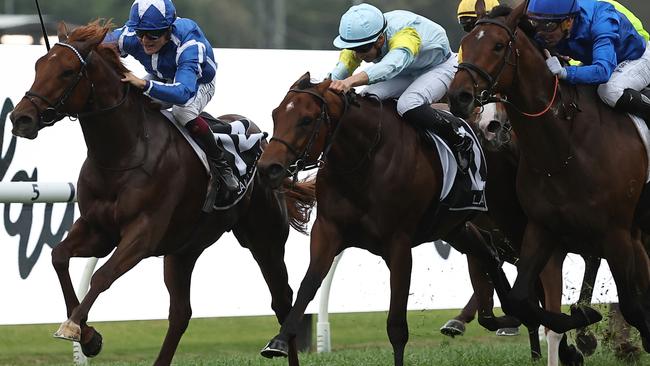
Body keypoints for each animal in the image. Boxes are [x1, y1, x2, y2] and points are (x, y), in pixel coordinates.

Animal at [9, 20, 314, 366]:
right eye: (38, 66)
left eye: (66, 71)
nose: (20, 118)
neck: (124, 154)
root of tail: (263, 144)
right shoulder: (97, 229)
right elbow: (58, 257)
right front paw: (89, 337)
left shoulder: (143, 234)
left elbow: (102, 275)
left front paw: (75, 327)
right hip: (184, 249)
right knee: (181, 313)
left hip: (264, 240)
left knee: (283, 300)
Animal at [253, 73, 512, 364]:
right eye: (276, 114)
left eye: (306, 120)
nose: (267, 168)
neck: (364, 158)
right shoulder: (328, 230)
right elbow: (308, 285)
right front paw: (278, 341)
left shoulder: (398, 244)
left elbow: (397, 326)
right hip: (453, 228)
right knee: (489, 253)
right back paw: (508, 311)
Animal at [446, 2, 648, 352]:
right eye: (465, 43)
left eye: (498, 45)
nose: (459, 96)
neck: (565, 149)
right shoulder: (541, 228)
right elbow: (520, 299)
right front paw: (581, 320)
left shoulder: (616, 233)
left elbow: (634, 307)